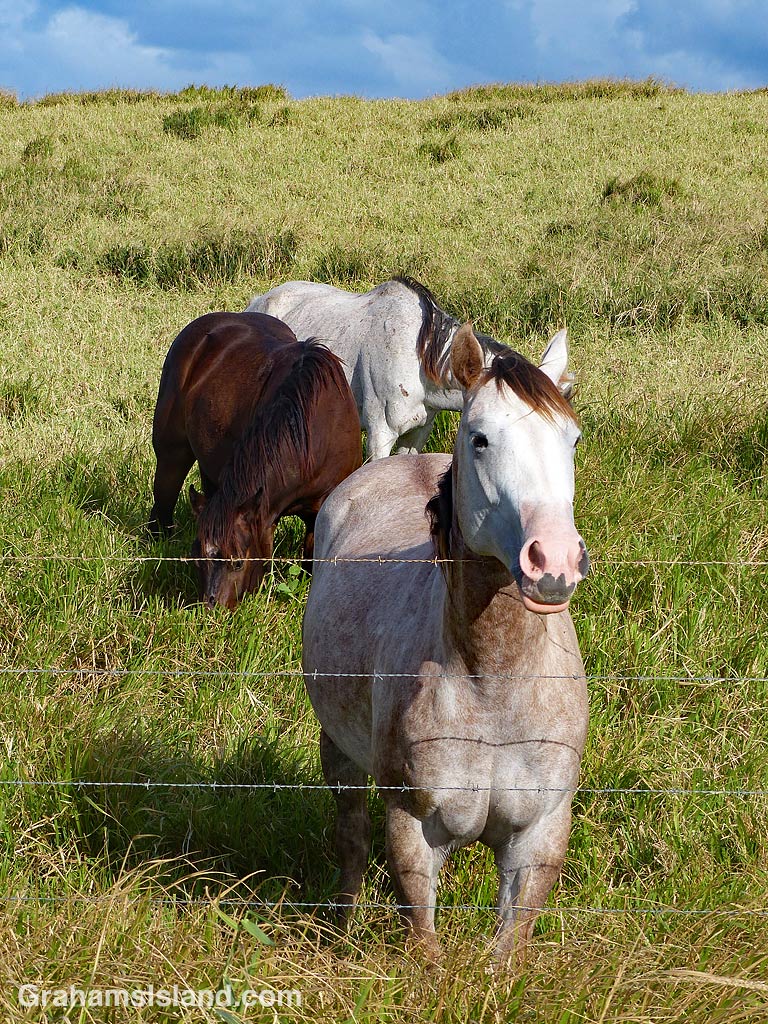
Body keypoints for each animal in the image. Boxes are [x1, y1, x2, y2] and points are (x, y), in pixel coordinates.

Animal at [301, 322, 589, 961]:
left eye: (572, 440)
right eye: (480, 439)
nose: (553, 564)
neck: (492, 685)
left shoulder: (539, 837)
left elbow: (507, 956)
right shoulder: (412, 827)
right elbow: (425, 946)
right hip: (340, 754)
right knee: (351, 840)